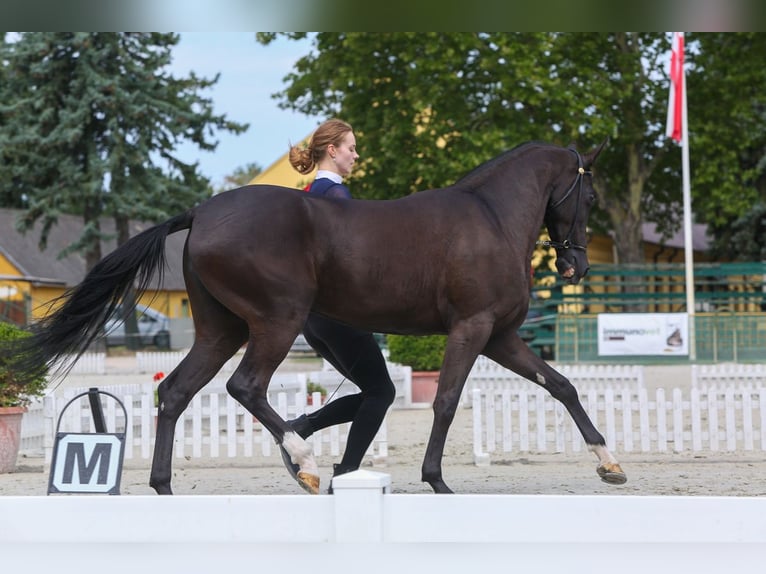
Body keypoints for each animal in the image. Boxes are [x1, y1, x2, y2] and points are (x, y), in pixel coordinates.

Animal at [3, 140, 628, 496]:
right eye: (591, 197)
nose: (574, 264)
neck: (490, 218)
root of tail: (202, 212)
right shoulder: (471, 330)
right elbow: (447, 402)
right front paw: (437, 481)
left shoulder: (500, 336)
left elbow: (563, 387)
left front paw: (610, 464)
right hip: (275, 323)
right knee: (245, 386)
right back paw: (302, 464)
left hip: (222, 331)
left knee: (176, 392)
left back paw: (168, 486)